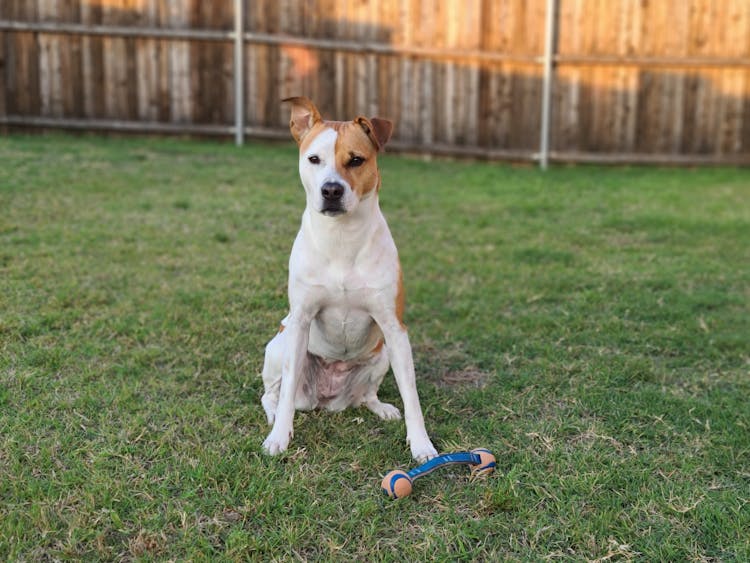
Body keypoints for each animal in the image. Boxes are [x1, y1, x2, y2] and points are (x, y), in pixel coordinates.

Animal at [260, 96, 440, 462]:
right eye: (314, 159)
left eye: (356, 160)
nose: (331, 189)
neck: (342, 237)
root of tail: (328, 400)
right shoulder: (301, 320)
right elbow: (285, 393)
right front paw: (279, 438)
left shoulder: (394, 329)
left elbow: (411, 395)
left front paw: (421, 444)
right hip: (280, 346)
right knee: (273, 394)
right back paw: (273, 418)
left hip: (381, 355)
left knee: (366, 395)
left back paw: (381, 407)